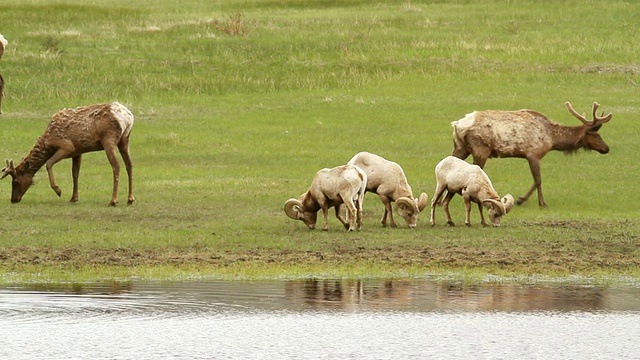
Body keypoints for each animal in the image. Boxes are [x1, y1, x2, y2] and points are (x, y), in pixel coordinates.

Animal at [2, 102, 135, 207]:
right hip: (125, 139)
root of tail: (128, 117)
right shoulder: (78, 151)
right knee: (129, 164)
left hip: (108, 139)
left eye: (16, 181)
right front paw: (73, 198)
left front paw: (58, 190)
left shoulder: (67, 147)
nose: (13, 199)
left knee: (116, 165)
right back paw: (130, 199)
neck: (47, 143)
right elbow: (75, 174)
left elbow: (48, 163)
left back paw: (113, 200)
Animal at [448, 102, 612, 207]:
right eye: (596, 134)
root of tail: (457, 125)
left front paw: (522, 199)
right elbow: (538, 179)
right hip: (480, 149)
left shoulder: (531, 155)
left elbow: (536, 180)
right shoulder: (534, 153)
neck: (552, 139)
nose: (607, 148)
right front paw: (540, 202)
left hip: (461, 147)